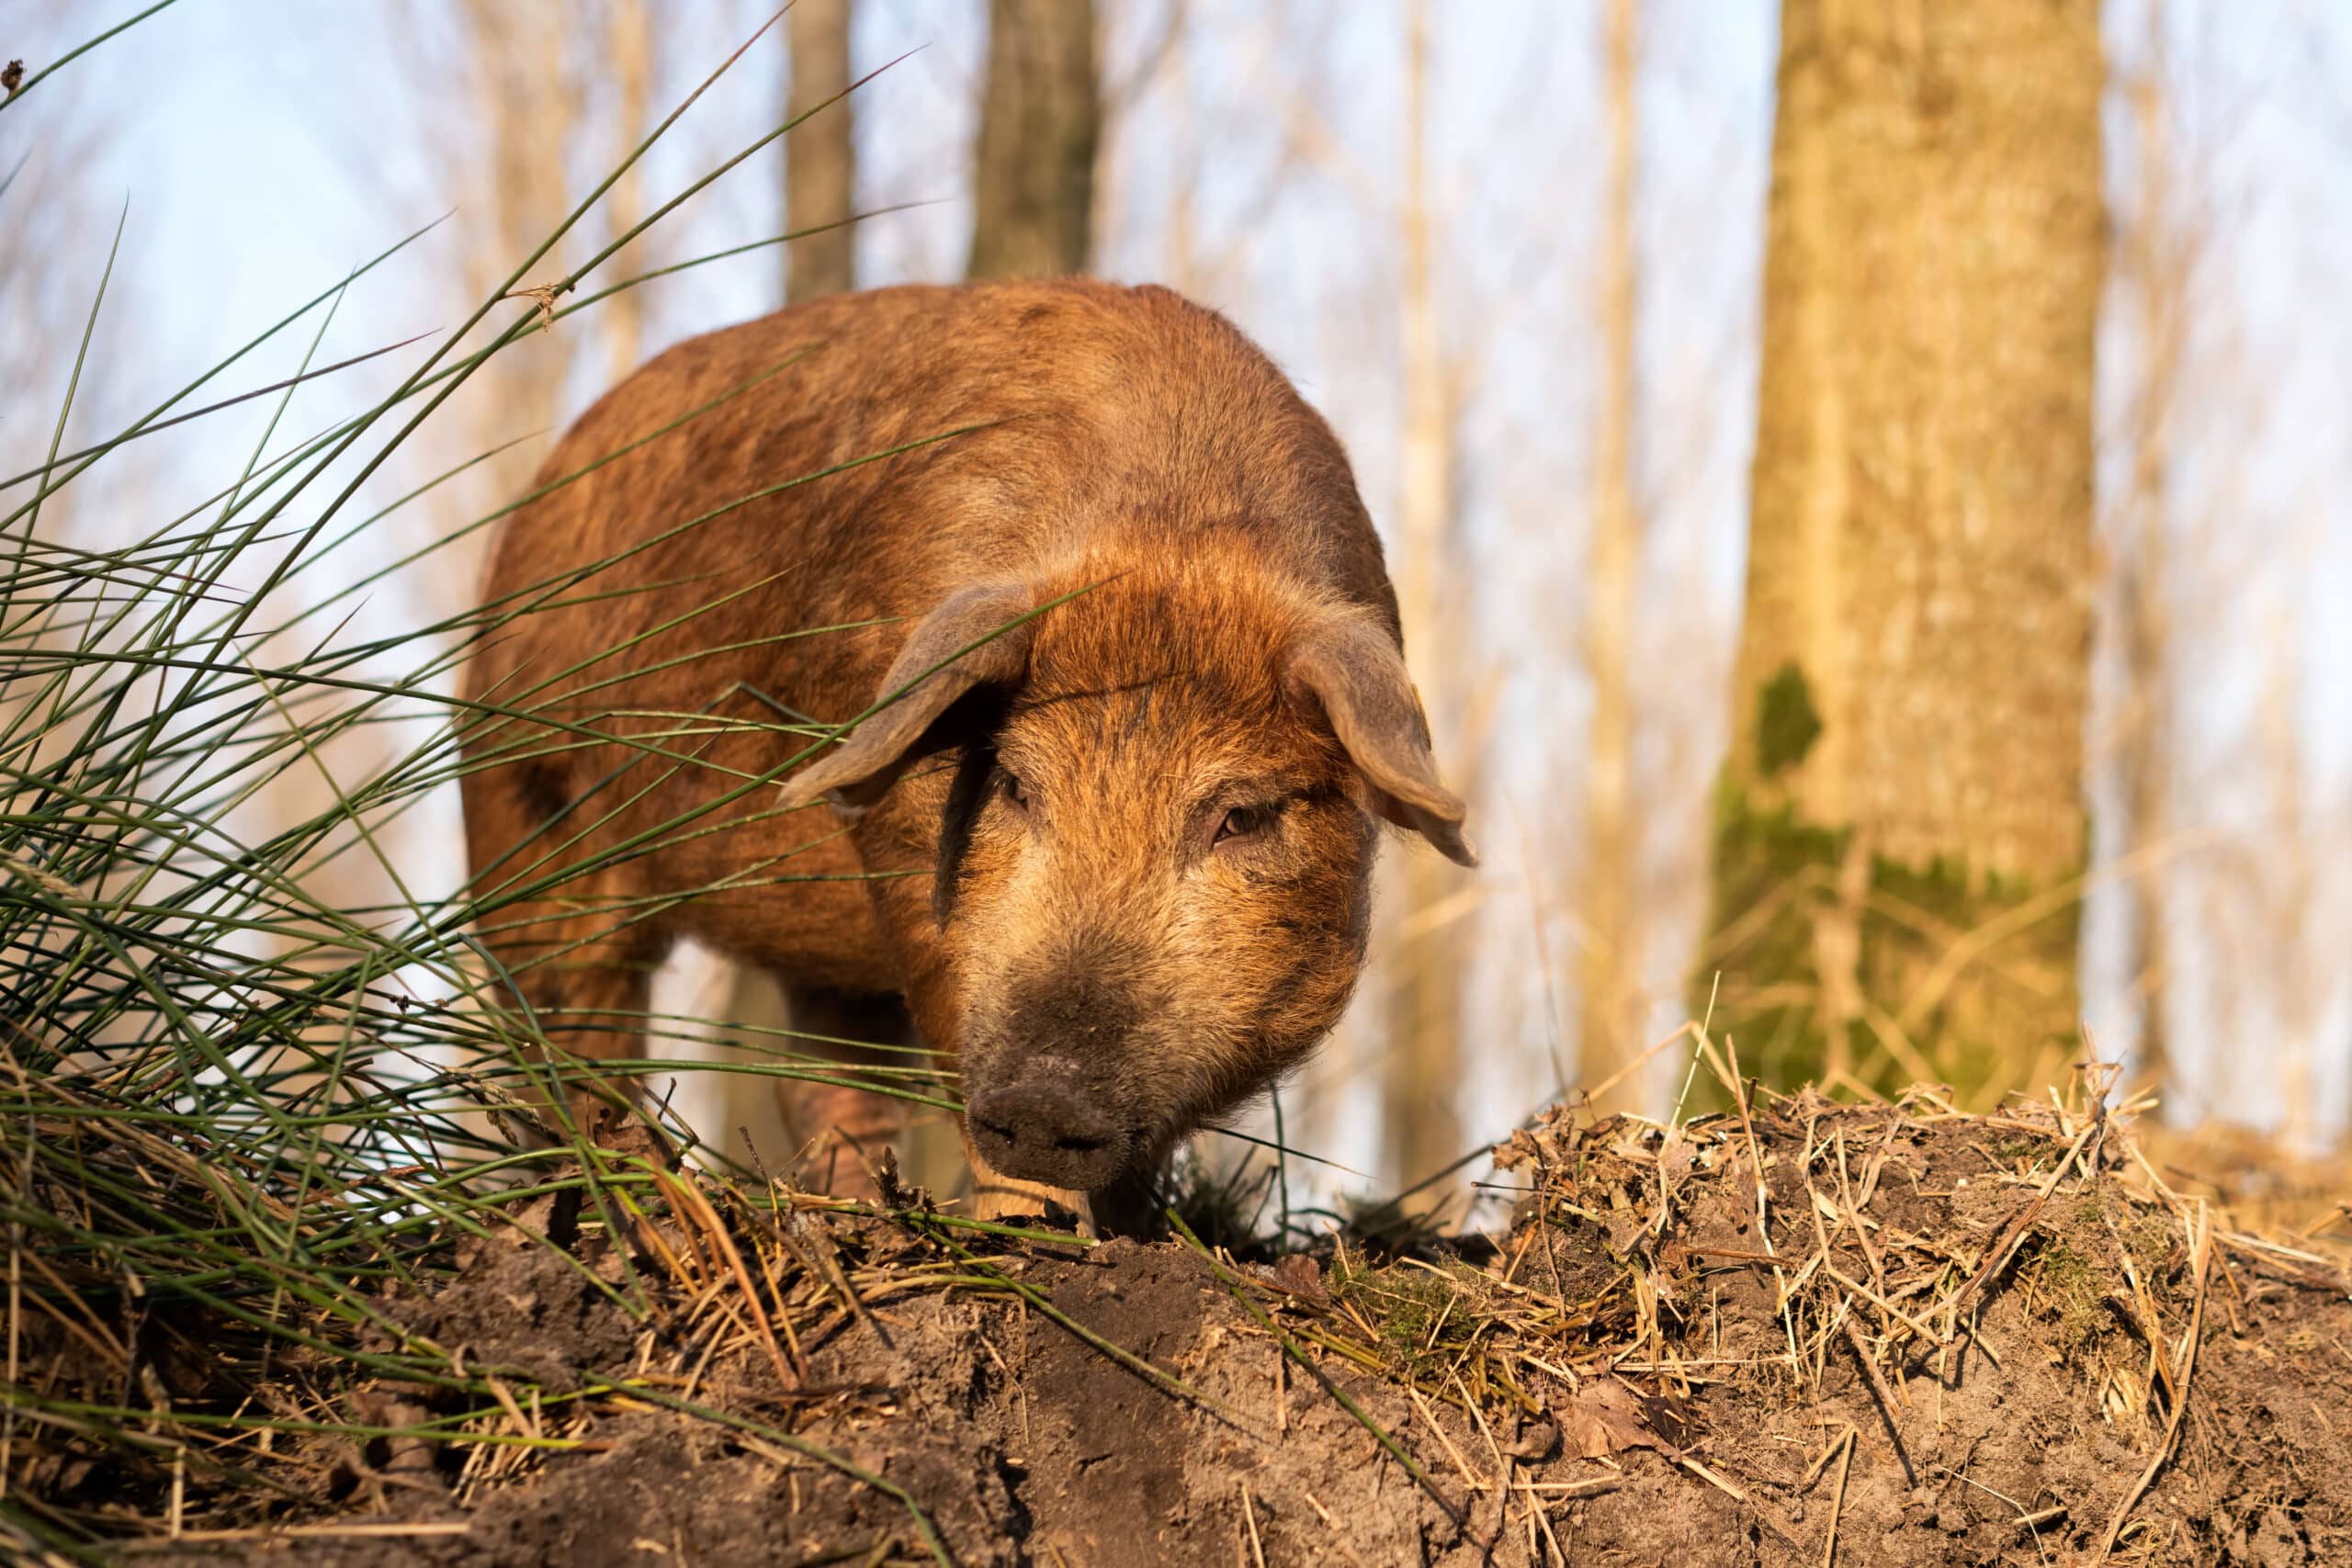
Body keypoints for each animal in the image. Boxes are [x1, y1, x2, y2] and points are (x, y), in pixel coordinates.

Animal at [458, 285, 1467, 1241]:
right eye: (1015, 784)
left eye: (1242, 815)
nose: (1046, 1095)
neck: (1174, 534)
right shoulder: (913, 871)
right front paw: (1032, 1242)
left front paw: (1140, 1245)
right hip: (520, 811)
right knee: (570, 1030)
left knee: (822, 1080)